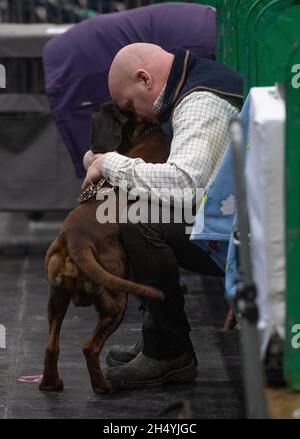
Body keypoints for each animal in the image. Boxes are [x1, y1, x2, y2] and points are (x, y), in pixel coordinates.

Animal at [39, 102, 171, 396]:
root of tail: (76, 241)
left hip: (57, 298)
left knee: (52, 345)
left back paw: (50, 384)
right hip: (115, 304)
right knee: (90, 348)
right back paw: (104, 387)